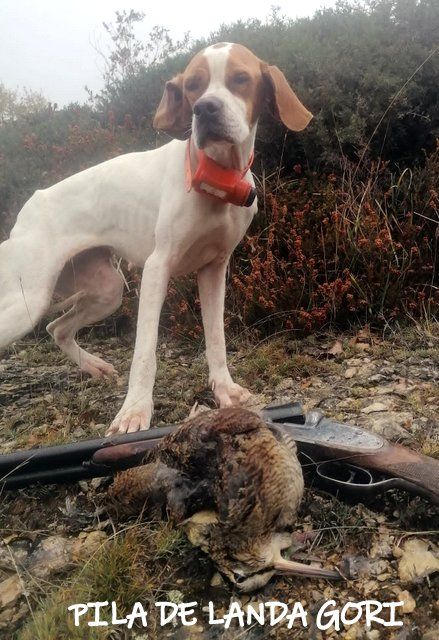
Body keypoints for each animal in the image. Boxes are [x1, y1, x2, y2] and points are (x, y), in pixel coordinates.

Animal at [0, 43, 312, 436]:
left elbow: (216, 340)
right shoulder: (157, 268)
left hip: (106, 290)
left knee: (57, 328)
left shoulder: (214, 270)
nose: (204, 109)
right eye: (193, 85)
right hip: (27, 302)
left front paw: (225, 391)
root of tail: (25, 211)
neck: (214, 177)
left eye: (241, 78)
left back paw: (95, 367)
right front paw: (134, 412)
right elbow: (145, 352)